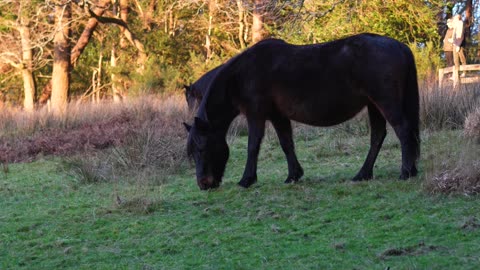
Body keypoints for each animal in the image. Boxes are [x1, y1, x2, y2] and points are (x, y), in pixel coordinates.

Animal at [184, 33, 420, 190]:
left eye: (202, 148)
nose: (204, 184)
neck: (240, 76)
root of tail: (399, 45)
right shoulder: (277, 116)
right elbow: (286, 143)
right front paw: (293, 175)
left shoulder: (256, 114)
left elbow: (253, 146)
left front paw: (246, 180)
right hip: (374, 105)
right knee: (378, 136)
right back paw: (363, 174)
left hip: (385, 103)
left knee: (403, 131)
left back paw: (406, 172)